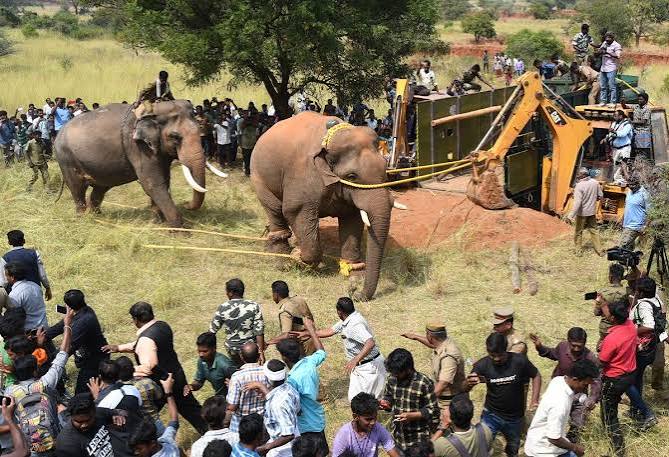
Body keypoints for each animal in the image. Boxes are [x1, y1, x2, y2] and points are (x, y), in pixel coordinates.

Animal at [54, 100, 227, 227]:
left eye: (200, 130)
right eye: (175, 137)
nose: (185, 203)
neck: (154, 110)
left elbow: (164, 180)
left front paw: (158, 222)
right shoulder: (139, 147)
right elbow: (152, 183)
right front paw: (179, 230)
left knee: (100, 189)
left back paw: (97, 216)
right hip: (66, 158)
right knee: (77, 189)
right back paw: (83, 219)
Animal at [251, 111, 404, 299]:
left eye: (385, 169)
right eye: (352, 176)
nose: (353, 292)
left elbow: (352, 219)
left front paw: (353, 275)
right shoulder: (303, 175)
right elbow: (295, 211)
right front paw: (298, 258)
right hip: (259, 176)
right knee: (275, 210)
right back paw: (283, 261)